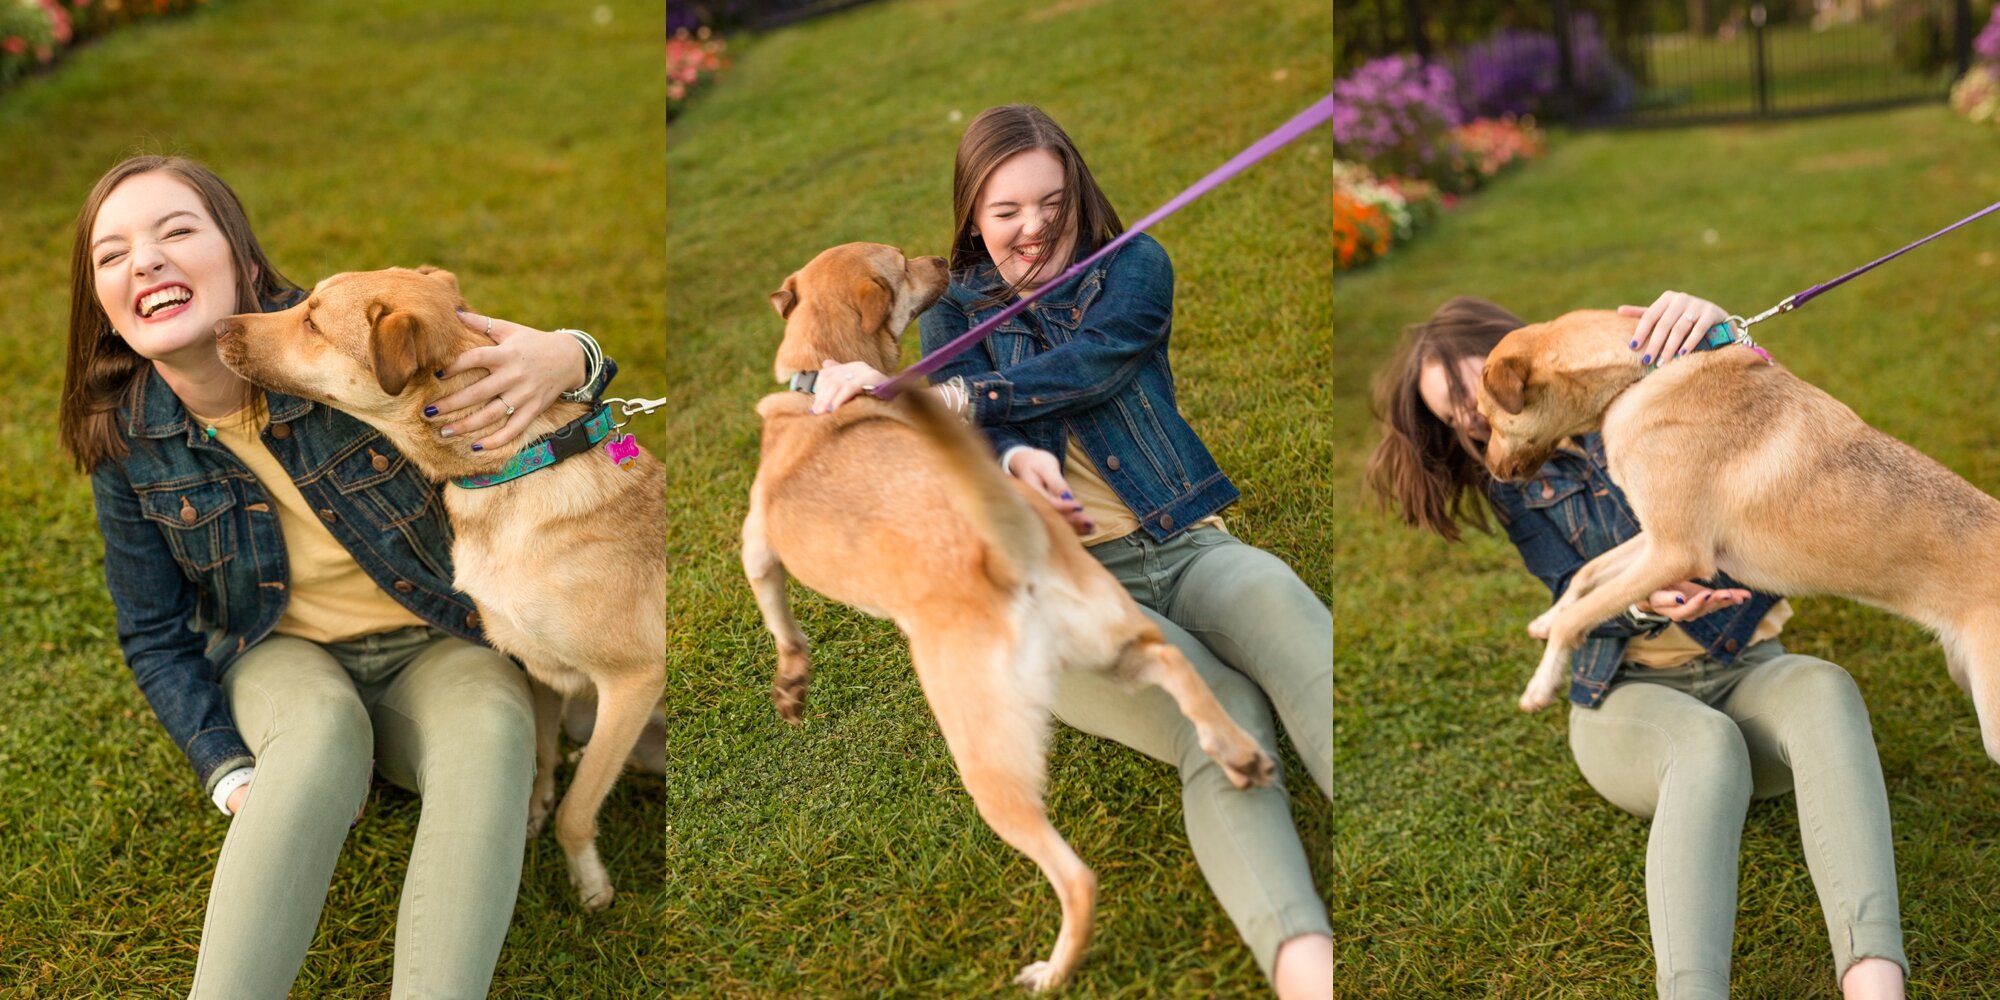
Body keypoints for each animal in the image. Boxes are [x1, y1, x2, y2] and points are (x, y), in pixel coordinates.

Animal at [221, 270, 664, 912]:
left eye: (312, 322)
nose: (215, 327)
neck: (517, 468)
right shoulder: (540, 670)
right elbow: (542, 756)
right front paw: (533, 813)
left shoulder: (634, 680)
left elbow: (577, 810)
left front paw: (590, 883)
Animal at [744, 244, 1272, 992]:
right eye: (904, 264)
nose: (940, 258)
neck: (819, 377)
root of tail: (1003, 546)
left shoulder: (757, 548)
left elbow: (780, 623)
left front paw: (791, 684)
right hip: (1107, 645)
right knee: (1175, 664)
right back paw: (1235, 752)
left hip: (988, 765)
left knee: (1076, 878)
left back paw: (1052, 972)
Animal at [1480, 308, 2000, 760]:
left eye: (1487, 418)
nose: (1491, 475)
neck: (1641, 375)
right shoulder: (1655, 538)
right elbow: (1586, 573)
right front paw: (1545, 621)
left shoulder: (1675, 553)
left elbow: (1579, 616)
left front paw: (1540, 685)